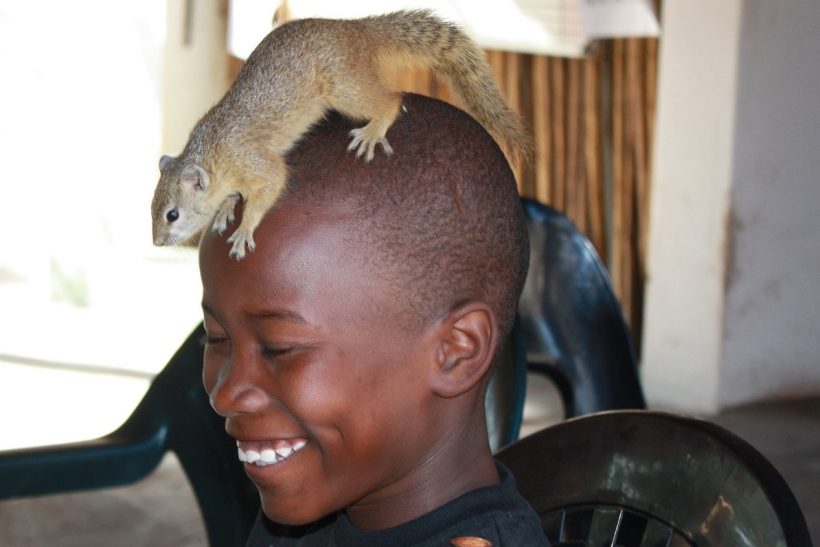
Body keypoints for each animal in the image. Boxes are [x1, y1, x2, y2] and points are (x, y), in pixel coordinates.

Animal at [151, 9, 534, 259]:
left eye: (172, 214)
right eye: (151, 206)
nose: (156, 242)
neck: (211, 151)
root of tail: (358, 32)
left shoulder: (253, 160)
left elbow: (272, 183)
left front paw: (244, 227)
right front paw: (226, 209)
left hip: (344, 87)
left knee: (392, 100)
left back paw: (374, 129)